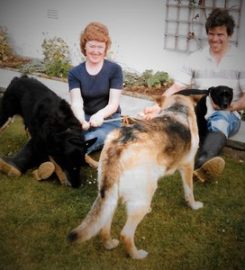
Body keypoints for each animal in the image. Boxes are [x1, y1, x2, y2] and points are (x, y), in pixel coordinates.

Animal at [68, 94, 203, 260]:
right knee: (125, 234)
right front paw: (194, 205)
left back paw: (109, 244)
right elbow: (189, 191)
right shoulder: (188, 166)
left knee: (104, 228)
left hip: (110, 196)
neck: (178, 108)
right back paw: (137, 255)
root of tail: (120, 144)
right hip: (143, 198)